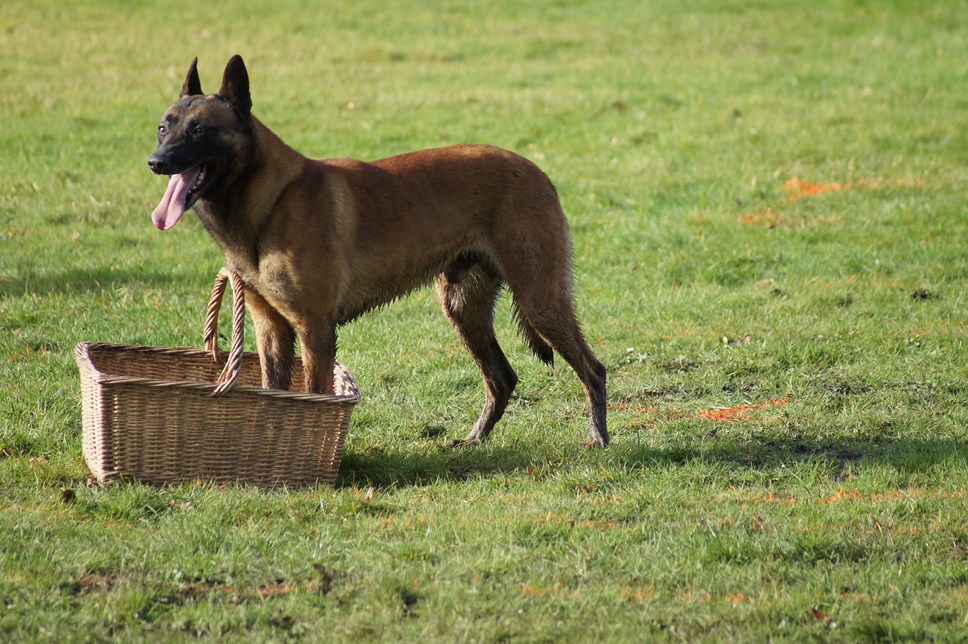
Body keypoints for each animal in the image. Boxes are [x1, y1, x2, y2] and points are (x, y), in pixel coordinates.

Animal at [147, 55, 608, 446]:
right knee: (502, 378)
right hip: (464, 309)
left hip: (540, 300)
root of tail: (535, 170)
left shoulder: (315, 329)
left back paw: (597, 437)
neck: (272, 198)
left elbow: (313, 395)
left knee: (594, 369)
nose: (156, 162)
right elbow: (272, 396)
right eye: (163, 128)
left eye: (199, 130)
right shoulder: (271, 328)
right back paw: (475, 440)